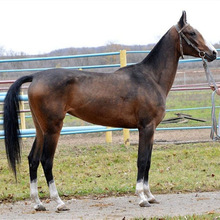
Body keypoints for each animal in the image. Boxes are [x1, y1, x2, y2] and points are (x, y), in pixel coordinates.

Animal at [3, 11, 217, 211]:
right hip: (53, 129)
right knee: (46, 161)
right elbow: (142, 161)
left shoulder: (152, 129)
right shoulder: (146, 128)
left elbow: (148, 161)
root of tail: (36, 76)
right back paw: (59, 202)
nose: (213, 53)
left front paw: (150, 196)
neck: (150, 78)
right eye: (192, 32)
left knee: (33, 159)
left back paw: (38, 203)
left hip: (41, 129)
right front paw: (141, 197)